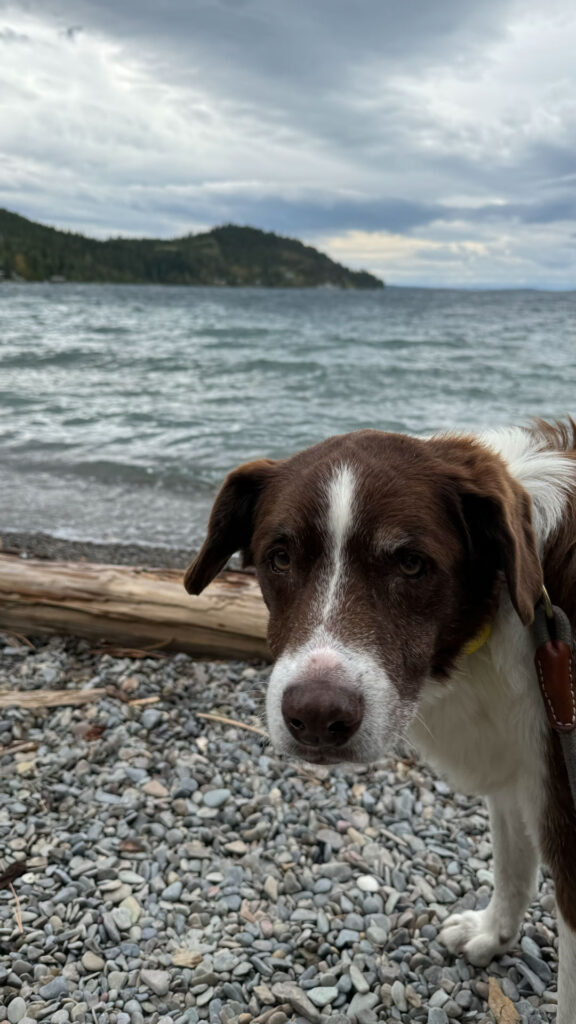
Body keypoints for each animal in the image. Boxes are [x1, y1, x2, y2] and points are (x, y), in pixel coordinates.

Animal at [184, 419, 573, 1019]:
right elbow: (512, 864)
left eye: (411, 564)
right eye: (280, 557)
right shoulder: (521, 768)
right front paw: (493, 934)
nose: (316, 718)